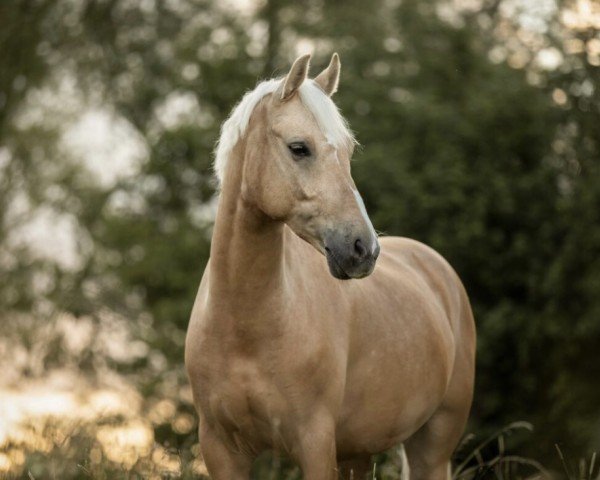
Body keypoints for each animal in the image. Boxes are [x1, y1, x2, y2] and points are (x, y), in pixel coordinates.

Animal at [185, 54, 476, 478]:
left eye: (349, 150)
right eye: (299, 148)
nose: (364, 249)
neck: (245, 328)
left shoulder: (315, 443)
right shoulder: (221, 449)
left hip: (433, 446)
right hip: (359, 452)